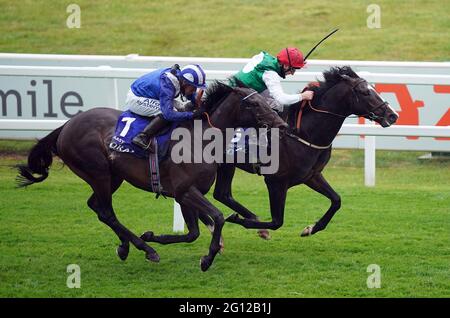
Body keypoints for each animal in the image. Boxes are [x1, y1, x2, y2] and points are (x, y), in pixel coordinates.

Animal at [17, 82, 286, 270]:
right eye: (254, 104)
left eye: (264, 100)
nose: (281, 124)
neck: (200, 138)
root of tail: (66, 126)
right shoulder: (185, 190)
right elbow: (218, 218)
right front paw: (207, 259)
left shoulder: (184, 194)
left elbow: (192, 233)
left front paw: (154, 236)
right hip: (98, 172)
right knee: (106, 212)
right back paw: (145, 249)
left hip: (112, 177)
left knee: (96, 206)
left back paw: (127, 246)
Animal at [210, 67, 398, 238]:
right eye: (365, 92)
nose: (392, 115)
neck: (303, 133)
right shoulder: (276, 181)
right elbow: (277, 222)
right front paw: (239, 220)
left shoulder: (311, 175)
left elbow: (336, 200)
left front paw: (311, 228)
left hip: (227, 164)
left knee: (222, 194)